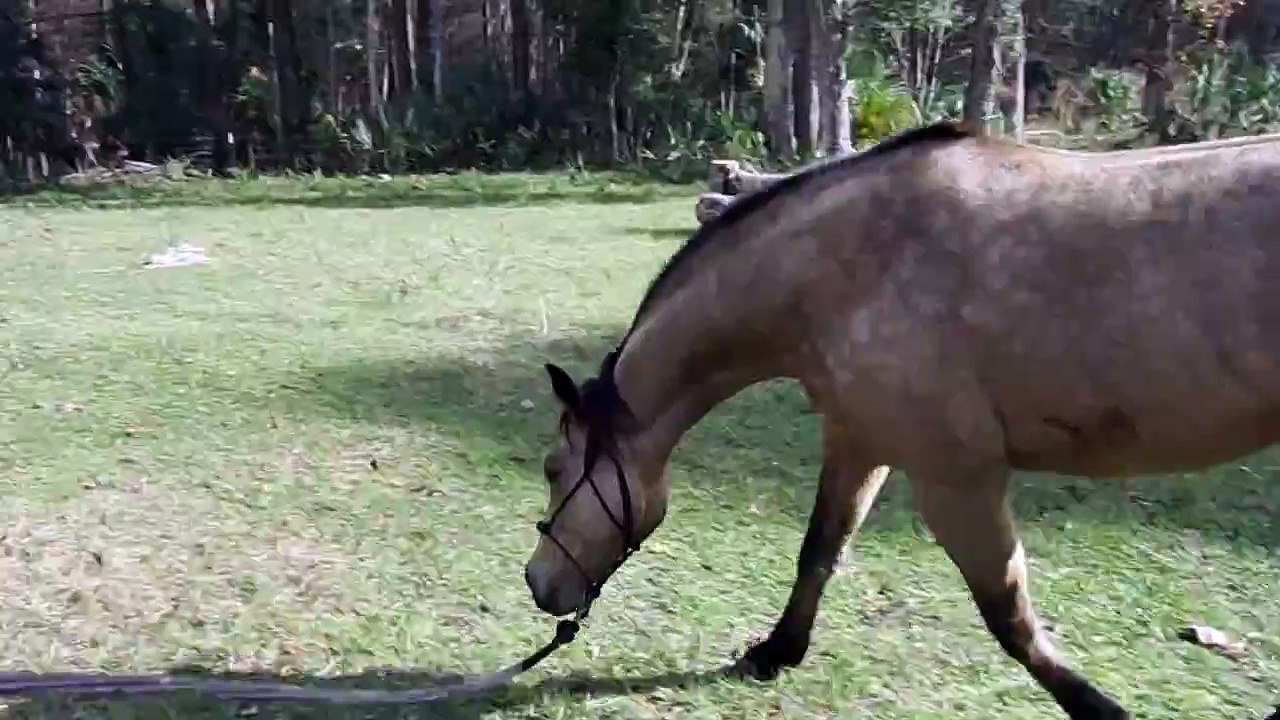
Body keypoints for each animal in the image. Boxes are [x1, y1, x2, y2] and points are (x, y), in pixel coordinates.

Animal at [523, 121, 1280, 719]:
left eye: (554, 468)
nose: (538, 584)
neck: (848, 267)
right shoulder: (859, 442)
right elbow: (819, 550)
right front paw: (776, 651)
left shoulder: (956, 482)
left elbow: (1008, 615)